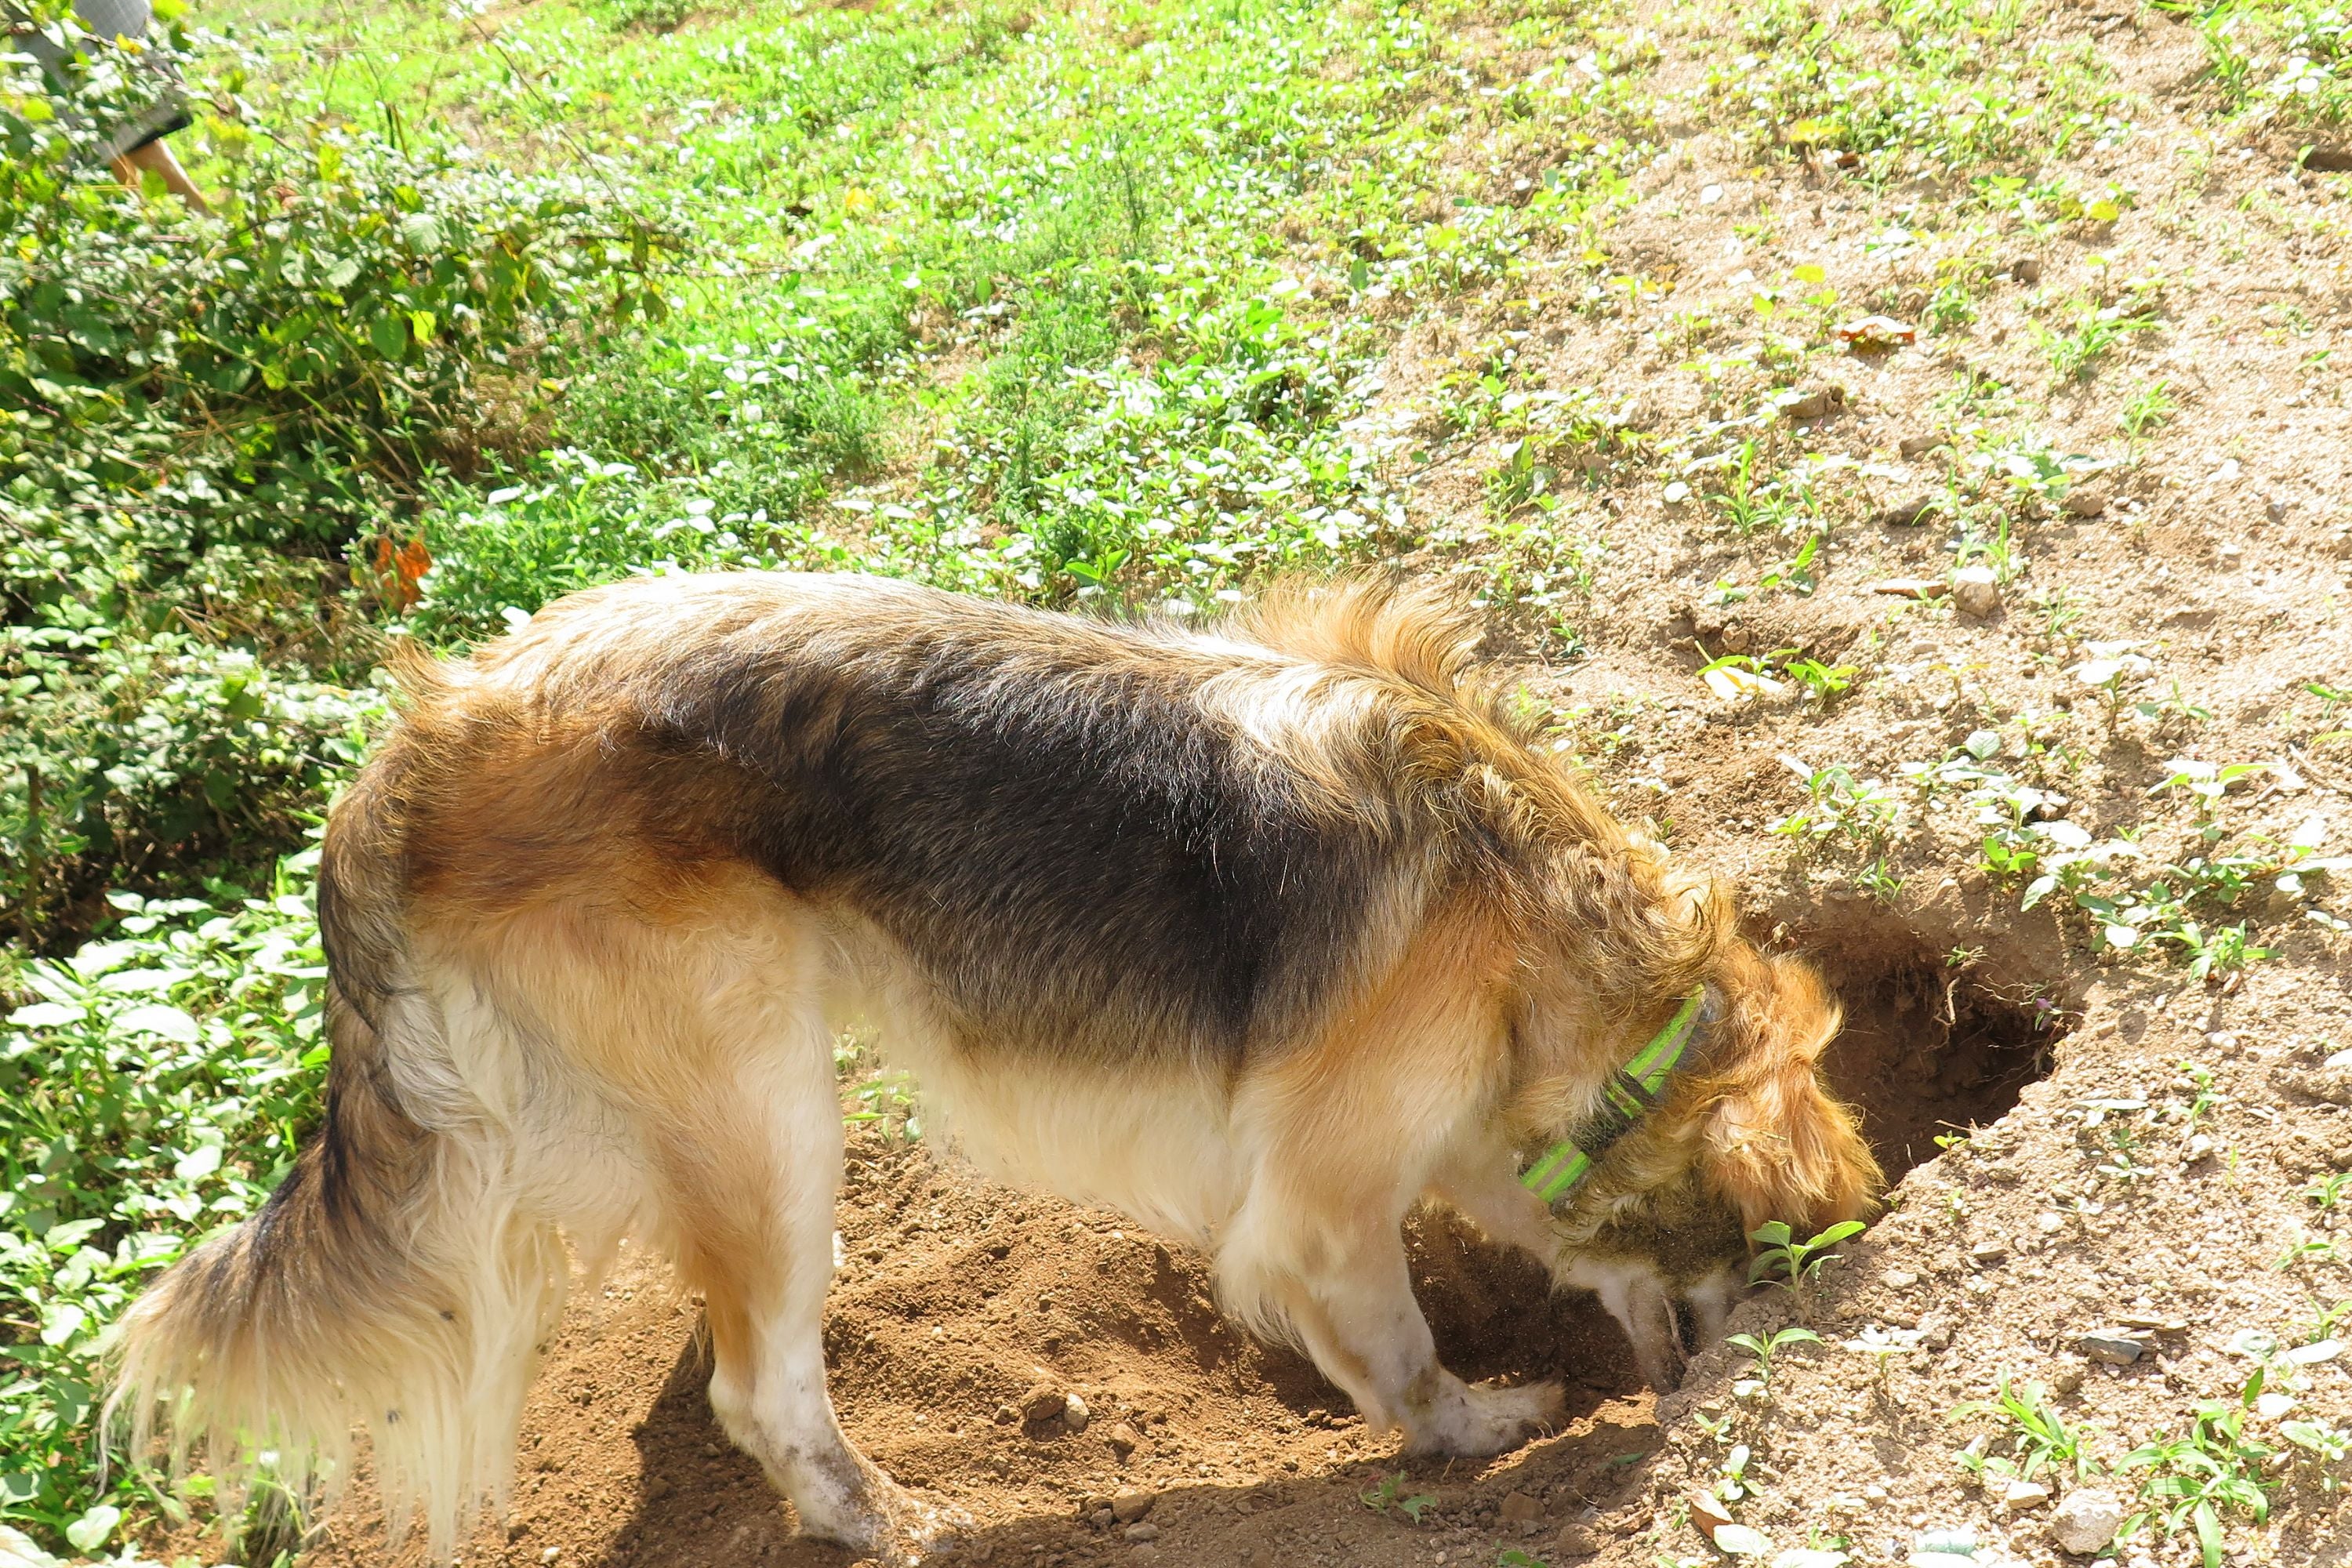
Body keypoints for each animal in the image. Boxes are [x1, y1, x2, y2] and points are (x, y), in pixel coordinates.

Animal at [111, 571, 1882, 1561]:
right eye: (1769, 1255)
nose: (1709, 1375)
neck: (1539, 926)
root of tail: (429, 733)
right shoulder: (1321, 1211)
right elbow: (1395, 1344)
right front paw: (1475, 1428)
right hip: (763, 1093)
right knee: (768, 1379)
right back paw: (878, 1520)